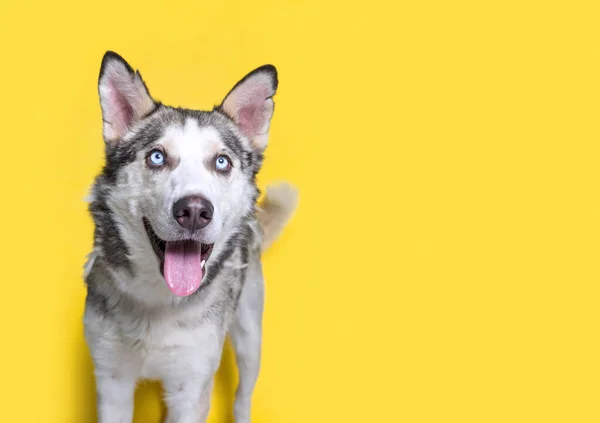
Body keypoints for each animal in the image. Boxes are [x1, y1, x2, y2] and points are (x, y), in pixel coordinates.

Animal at [83, 50, 298, 423]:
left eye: (222, 162)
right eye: (157, 157)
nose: (195, 211)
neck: (157, 302)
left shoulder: (193, 385)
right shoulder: (111, 380)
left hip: (249, 338)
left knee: (243, 396)